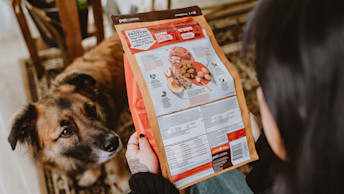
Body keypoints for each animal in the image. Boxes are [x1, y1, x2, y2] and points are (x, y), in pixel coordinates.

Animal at [7, 32, 134, 192]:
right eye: (66, 131)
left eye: (91, 110)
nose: (114, 142)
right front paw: (91, 176)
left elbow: (116, 165)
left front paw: (124, 182)